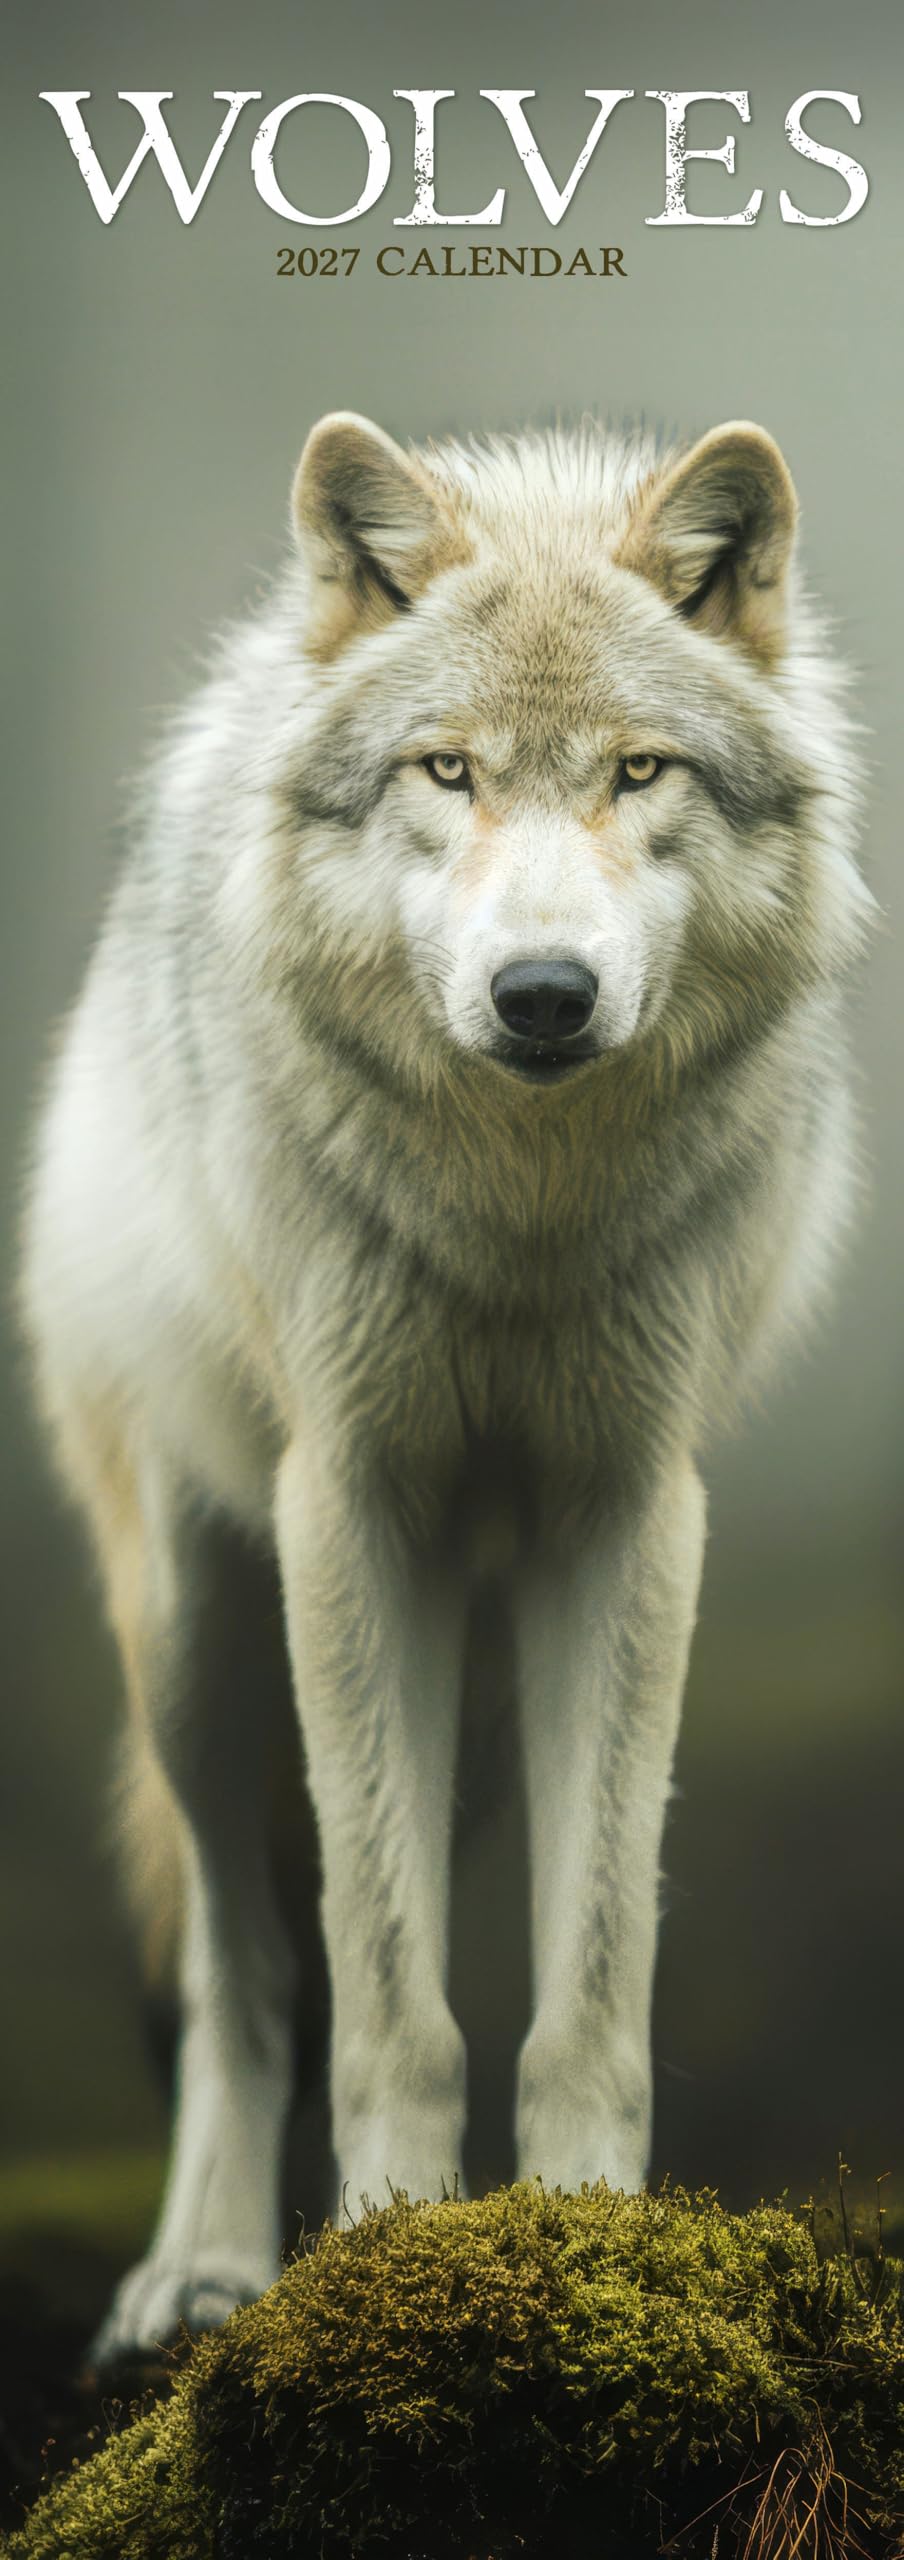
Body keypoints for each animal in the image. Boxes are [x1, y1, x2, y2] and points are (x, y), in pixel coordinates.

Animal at [21, 410, 870, 2364]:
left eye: (637, 772)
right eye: (447, 772)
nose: (542, 993)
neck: (519, 1217)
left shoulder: (627, 1523)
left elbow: (593, 1980)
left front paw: (587, 2246)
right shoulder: (354, 1510)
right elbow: (390, 1996)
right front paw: (383, 2260)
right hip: (199, 1634)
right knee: (246, 1975)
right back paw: (202, 2272)